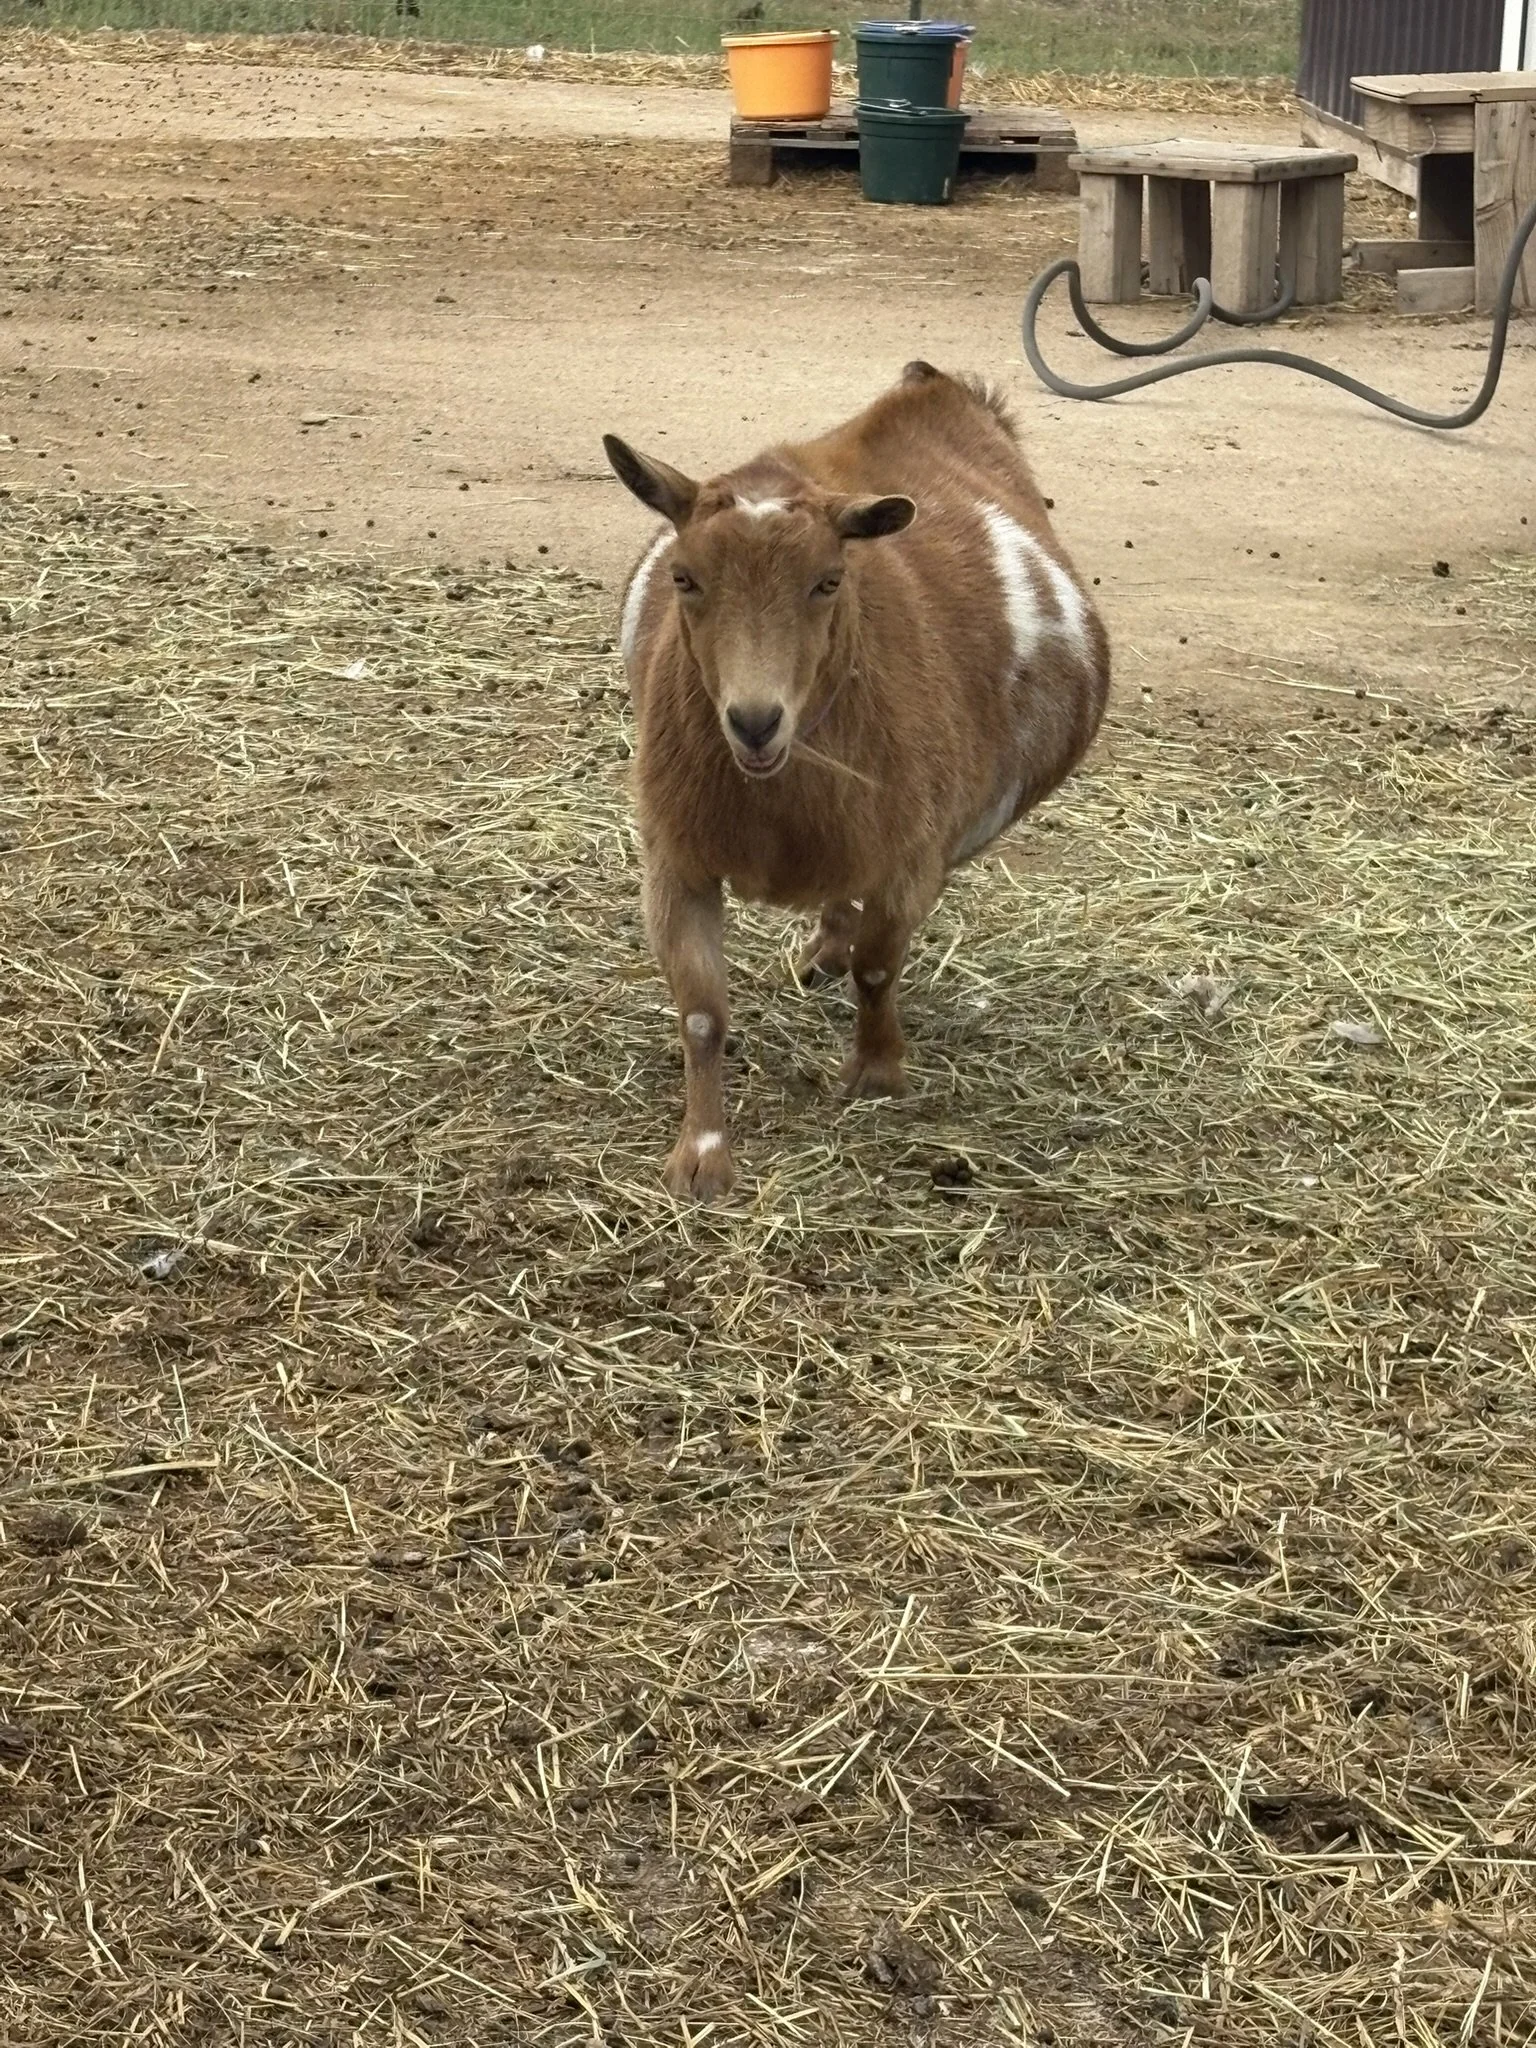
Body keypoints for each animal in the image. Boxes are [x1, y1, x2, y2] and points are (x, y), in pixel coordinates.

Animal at [604, 361, 1109, 1200]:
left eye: (829, 581)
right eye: (684, 576)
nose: (755, 721)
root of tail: (935, 389)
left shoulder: (913, 853)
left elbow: (879, 964)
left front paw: (876, 1073)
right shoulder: (676, 857)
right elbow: (703, 1011)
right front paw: (701, 1158)